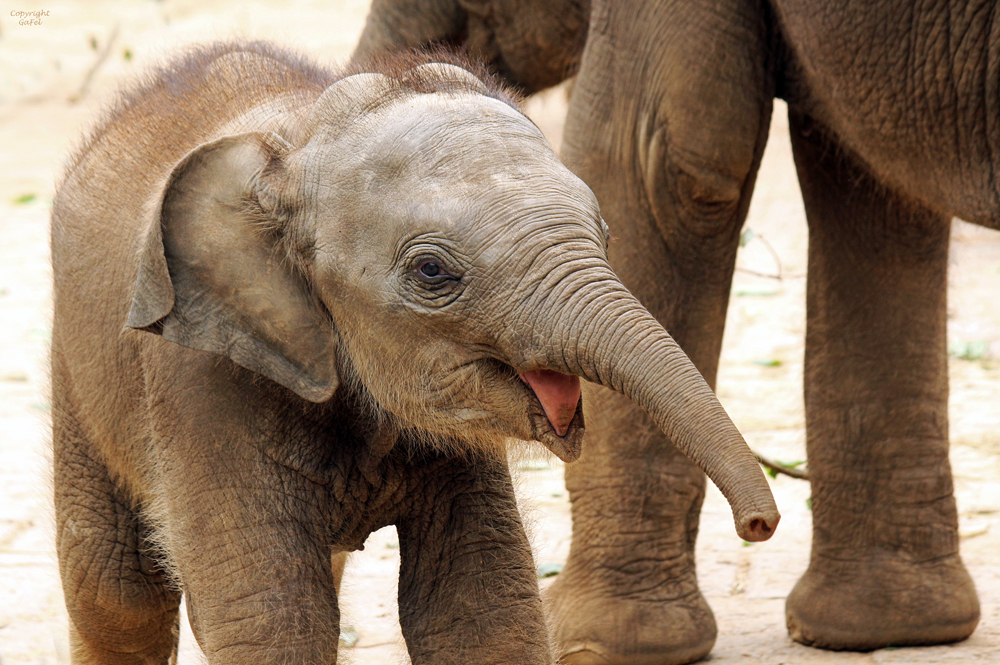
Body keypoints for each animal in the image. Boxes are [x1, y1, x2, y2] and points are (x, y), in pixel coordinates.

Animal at [50, 42, 776, 664]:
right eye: (432, 272)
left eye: (603, 233)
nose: (760, 523)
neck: (304, 140)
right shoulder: (202, 377)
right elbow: (267, 610)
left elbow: (478, 605)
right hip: (76, 368)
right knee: (118, 591)